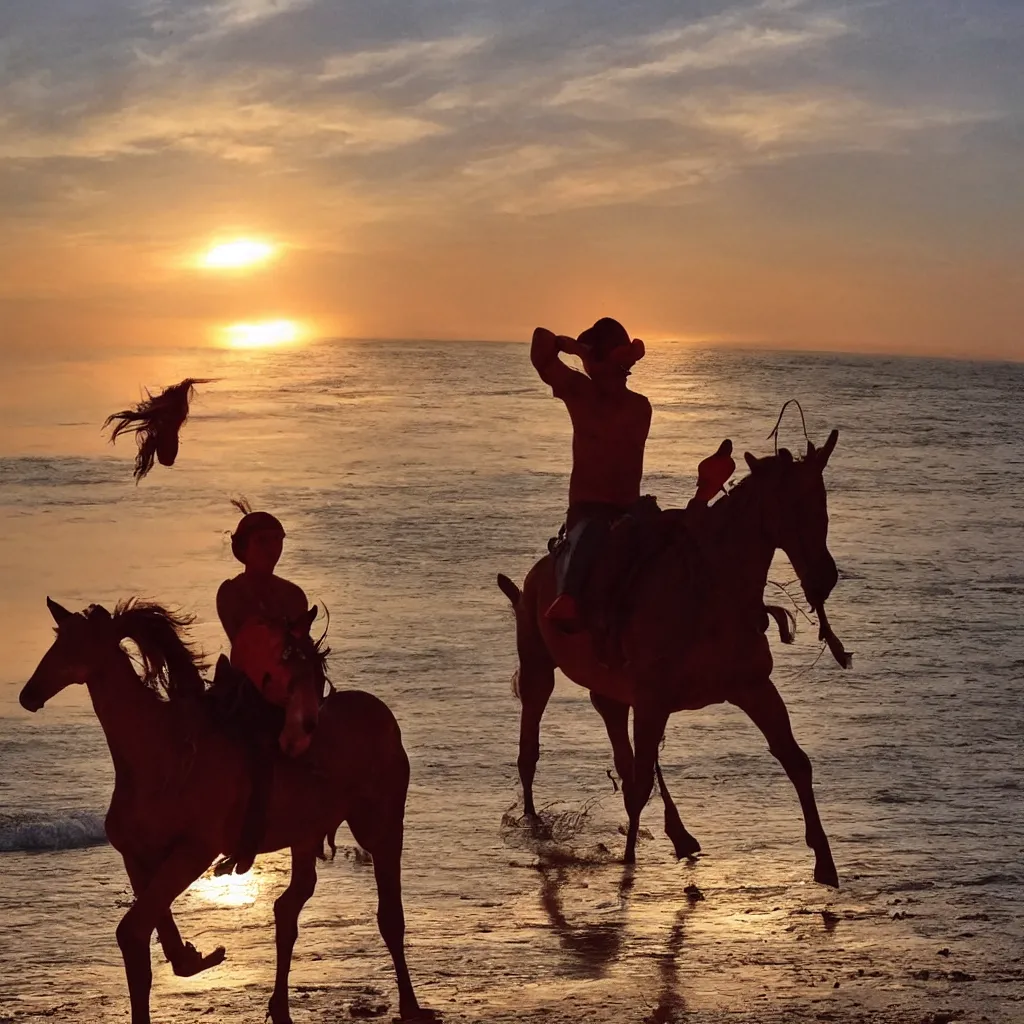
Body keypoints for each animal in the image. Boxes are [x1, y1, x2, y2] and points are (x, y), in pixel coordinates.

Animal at [19, 598, 434, 1024]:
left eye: (77, 643)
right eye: (57, 639)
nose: (29, 694)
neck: (160, 754)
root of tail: (378, 711)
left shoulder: (194, 851)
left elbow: (133, 932)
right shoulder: (137, 856)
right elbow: (147, 932)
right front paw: (191, 956)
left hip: (382, 825)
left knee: (390, 915)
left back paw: (411, 1006)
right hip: (305, 832)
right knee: (290, 907)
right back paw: (279, 1006)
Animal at [499, 432, 843, 888]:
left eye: (822, 501)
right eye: (792, 505)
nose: (825, 577)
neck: (710, 591)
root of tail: (538, 574)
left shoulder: (752, 687)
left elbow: (796, 761)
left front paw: (825, 860)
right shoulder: (653, 698)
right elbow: (640, 781)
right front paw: (628, 864)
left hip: (614, 692)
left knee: (622, 750)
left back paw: (679, 834)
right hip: (540, 667)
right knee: (532, 748)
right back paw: (535, 820)